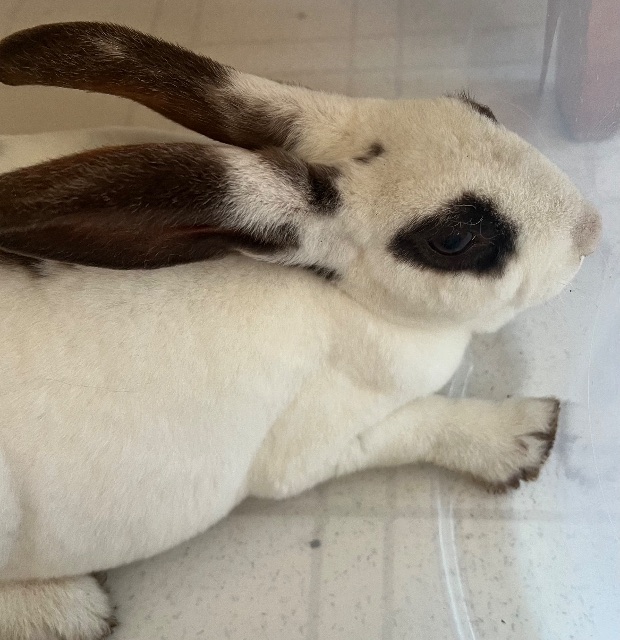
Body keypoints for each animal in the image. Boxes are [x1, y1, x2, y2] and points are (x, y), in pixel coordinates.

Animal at [0, 22, 601, 640]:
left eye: (479, 108)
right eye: (453, 241)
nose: (592, 229)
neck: (343, 296)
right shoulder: (322, 448)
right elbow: (424, 425)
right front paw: (523, 436)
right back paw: (65, 610)